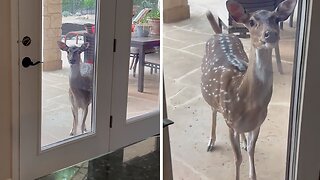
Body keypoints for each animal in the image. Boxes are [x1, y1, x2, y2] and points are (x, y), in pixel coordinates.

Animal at [201, 0, 296, 179]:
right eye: (251, 22)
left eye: (276, 19)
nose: (270, 34)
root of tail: (219, 33)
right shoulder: (230, 121)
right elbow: (237, 158)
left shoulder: (258, 124)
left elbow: (251, 151)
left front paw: (252, 173)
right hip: (213, 98)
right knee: (213, 111)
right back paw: (210, 142)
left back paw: (243, 141)